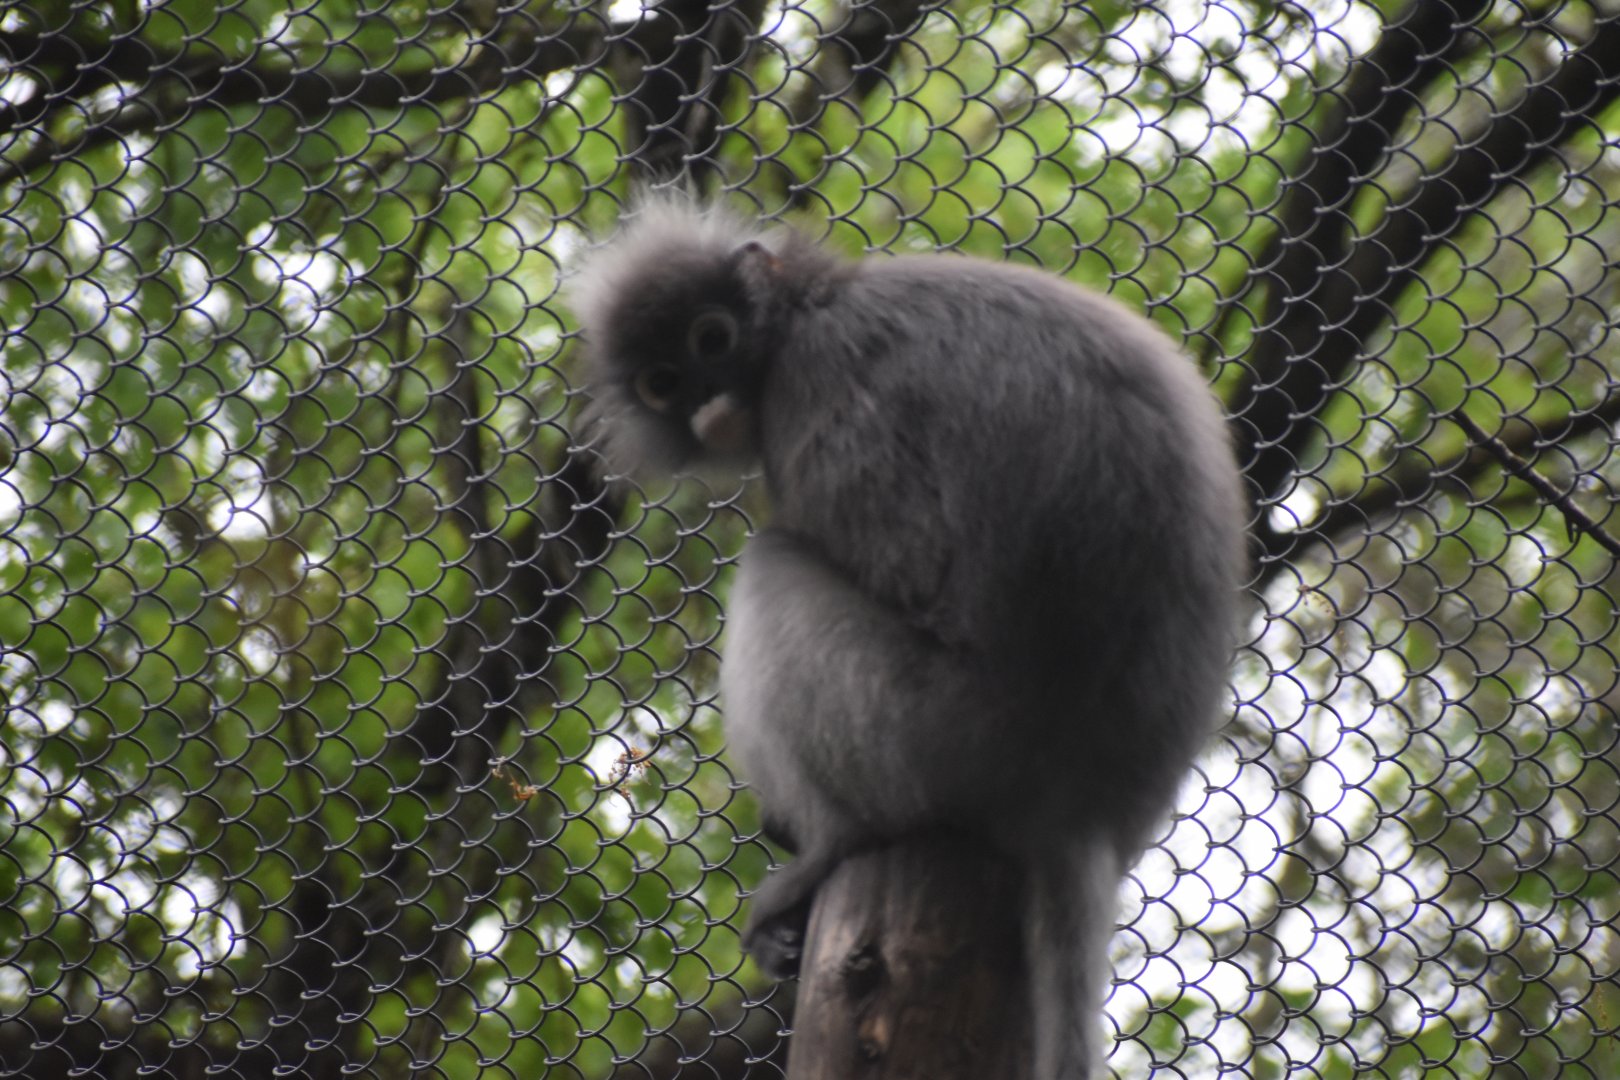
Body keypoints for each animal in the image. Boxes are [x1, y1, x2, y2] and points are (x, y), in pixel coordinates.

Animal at [571, 198, 1246, 1079]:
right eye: (662, 382)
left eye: (711, 339)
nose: (706, 402)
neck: (810, 308)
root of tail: (1081, 807)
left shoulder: (816, 388)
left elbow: (914, 564)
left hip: (922, 736)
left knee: (774, 565)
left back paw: (830, 846)